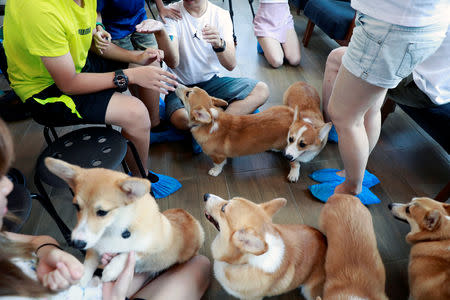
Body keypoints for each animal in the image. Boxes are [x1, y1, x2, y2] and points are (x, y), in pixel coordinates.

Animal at [45, 157, 204, 286]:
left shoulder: (153, 247)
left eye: (102, 212)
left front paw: (111, 270)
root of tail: (187, 214)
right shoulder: (93, 248)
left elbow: (129, 252)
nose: (76, 243)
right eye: (76, 206)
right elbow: (87, 266)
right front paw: (79, 284)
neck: (114, 228)